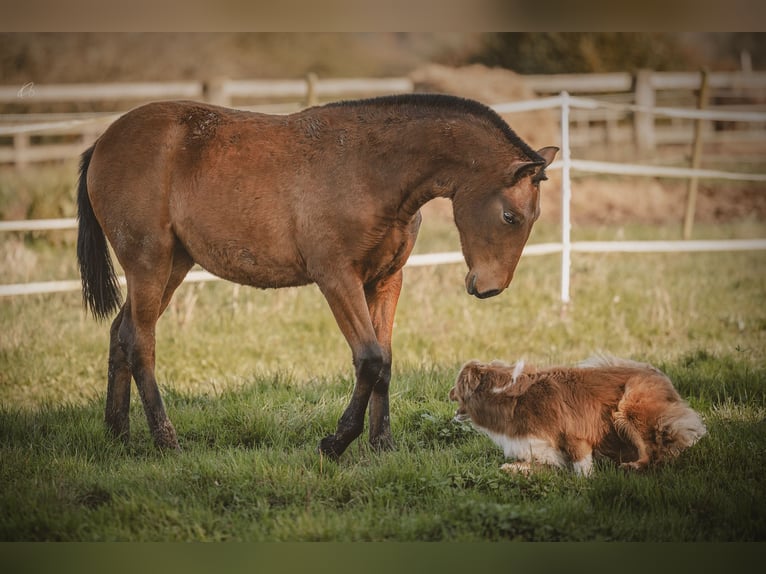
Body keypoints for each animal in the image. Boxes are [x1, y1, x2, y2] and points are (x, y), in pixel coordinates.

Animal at [78, 94, 560, 460]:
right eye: (511, 216)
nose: (489, 287)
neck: (371, 168)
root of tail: (103, 140)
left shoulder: (386, 281)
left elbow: (386, 362)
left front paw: (382, 444)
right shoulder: (337, 279)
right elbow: (370, 359)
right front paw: (336, 442)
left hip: (174, 266)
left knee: (121, 334)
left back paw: (117, 434)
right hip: (149, 263)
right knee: (140, 342)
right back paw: (165, 440)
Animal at [450, 356, 708, 476]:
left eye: (457, 384)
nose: (448, 393)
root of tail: (662, 375)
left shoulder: (575, 435)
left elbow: (581, 467)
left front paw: (586, 482)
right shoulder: (540, 450)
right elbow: (515, 466)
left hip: (627, 407)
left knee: (654, 451)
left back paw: (633, 465)